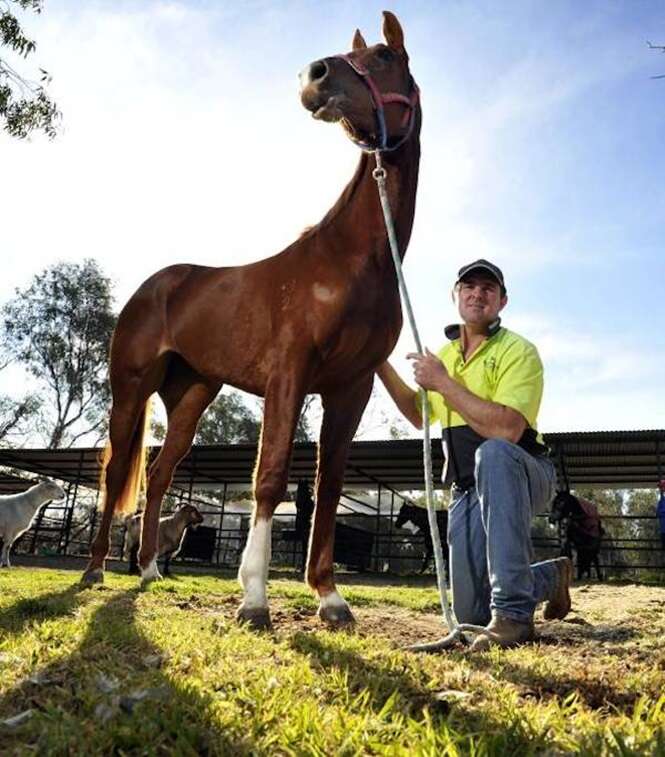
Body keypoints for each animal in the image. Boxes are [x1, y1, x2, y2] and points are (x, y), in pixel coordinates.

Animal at [81, 10, 420, 632]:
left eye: (385, 57)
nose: (315, 75)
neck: (349, 260)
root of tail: (153, 286)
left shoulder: (350, 388)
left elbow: (328, 487)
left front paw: (330, 596)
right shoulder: (289, 376)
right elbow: (270, 478)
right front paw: (255, 597)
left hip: (191, 396)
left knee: (160, 475)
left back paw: (149, 570)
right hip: (130, 390)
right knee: (118, 474)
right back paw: (94, 570)